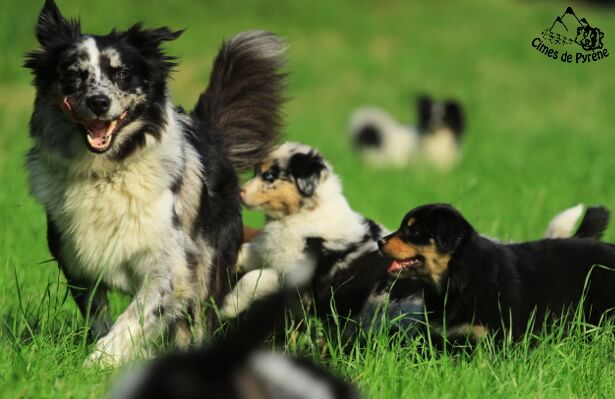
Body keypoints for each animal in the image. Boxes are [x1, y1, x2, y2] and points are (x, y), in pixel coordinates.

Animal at [22, 0, 286, 368]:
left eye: (121, 73)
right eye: (73, 73)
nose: (99, 102)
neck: (107, 171)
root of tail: (210, 131)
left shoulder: (173, 264)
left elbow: (135, 315)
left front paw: (98, 362)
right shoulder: (76, 260)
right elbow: (100, 316)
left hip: (210, 265)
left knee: (198, 321)